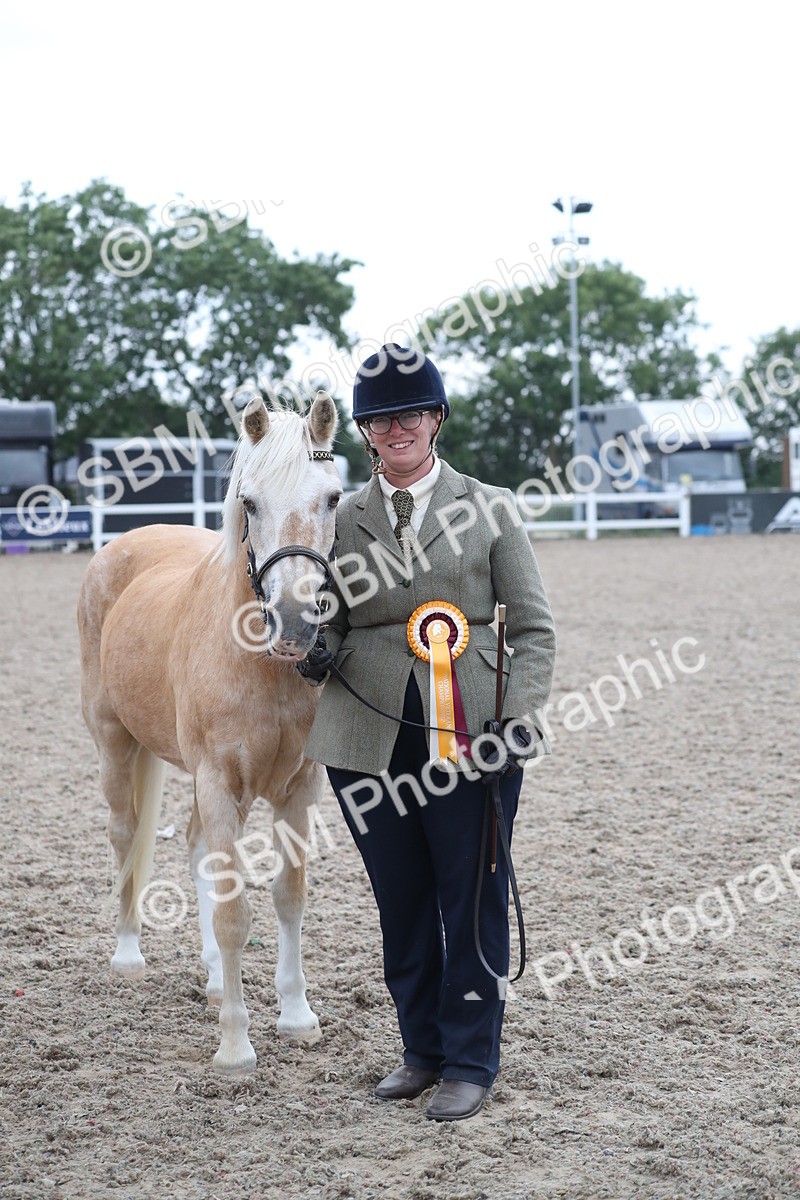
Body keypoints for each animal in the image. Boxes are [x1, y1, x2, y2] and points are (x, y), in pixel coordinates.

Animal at [77, 392, 341, 1073]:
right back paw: (128, 955)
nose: (294, 624)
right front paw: (236, 1046)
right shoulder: (219, 782)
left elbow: (287, 896)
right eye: (249, 502)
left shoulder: (298, 788)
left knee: (196, 848)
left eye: (333, 497)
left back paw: (218, 980)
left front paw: (297, 1016)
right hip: (115, 744)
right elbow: (232, 915)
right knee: (124, 835)